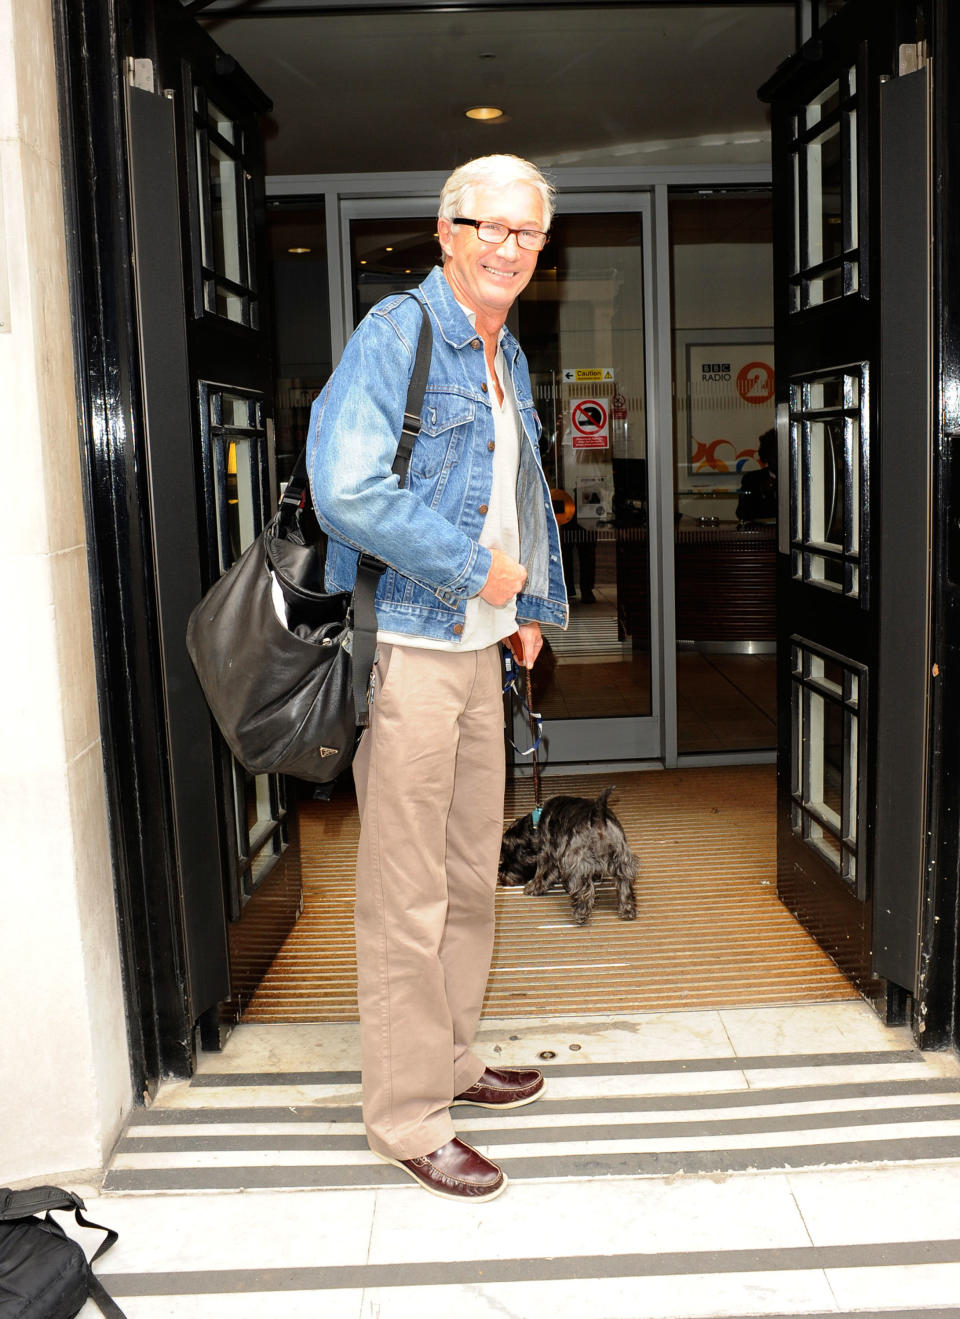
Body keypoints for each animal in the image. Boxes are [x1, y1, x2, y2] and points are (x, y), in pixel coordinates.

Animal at [503, 786, 638, 923]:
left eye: (508, 857)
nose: (500, 876)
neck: (536, 824)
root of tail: (598, 816)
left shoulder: (547, 854)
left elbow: (541, 874)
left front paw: (533, 888)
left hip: (575, 864)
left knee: (585, 891)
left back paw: (580, 914)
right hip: (622, 861)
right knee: (624, 885)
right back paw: (627, 911)